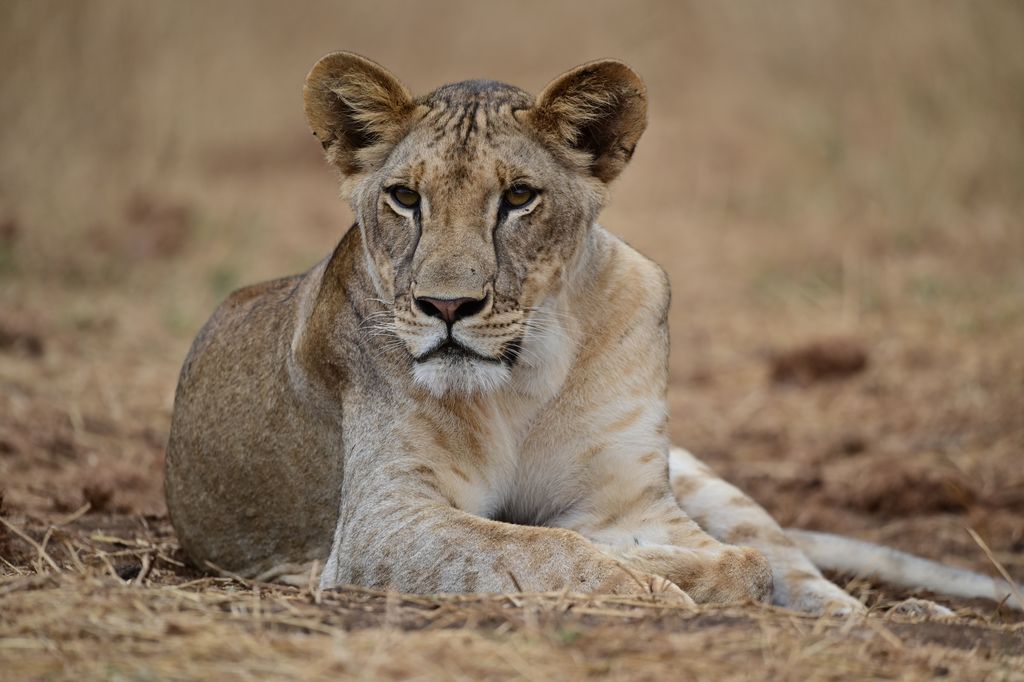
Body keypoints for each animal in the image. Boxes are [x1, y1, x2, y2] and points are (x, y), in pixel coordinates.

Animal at [163, 53, 1019, 614]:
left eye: (518, 197)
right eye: (405, 197)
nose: (447, 306)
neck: (523, 374)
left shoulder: (629, 504)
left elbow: (743, 562)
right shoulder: (383, 520)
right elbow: (540, 546)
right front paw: (655, 588)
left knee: (803, 571)